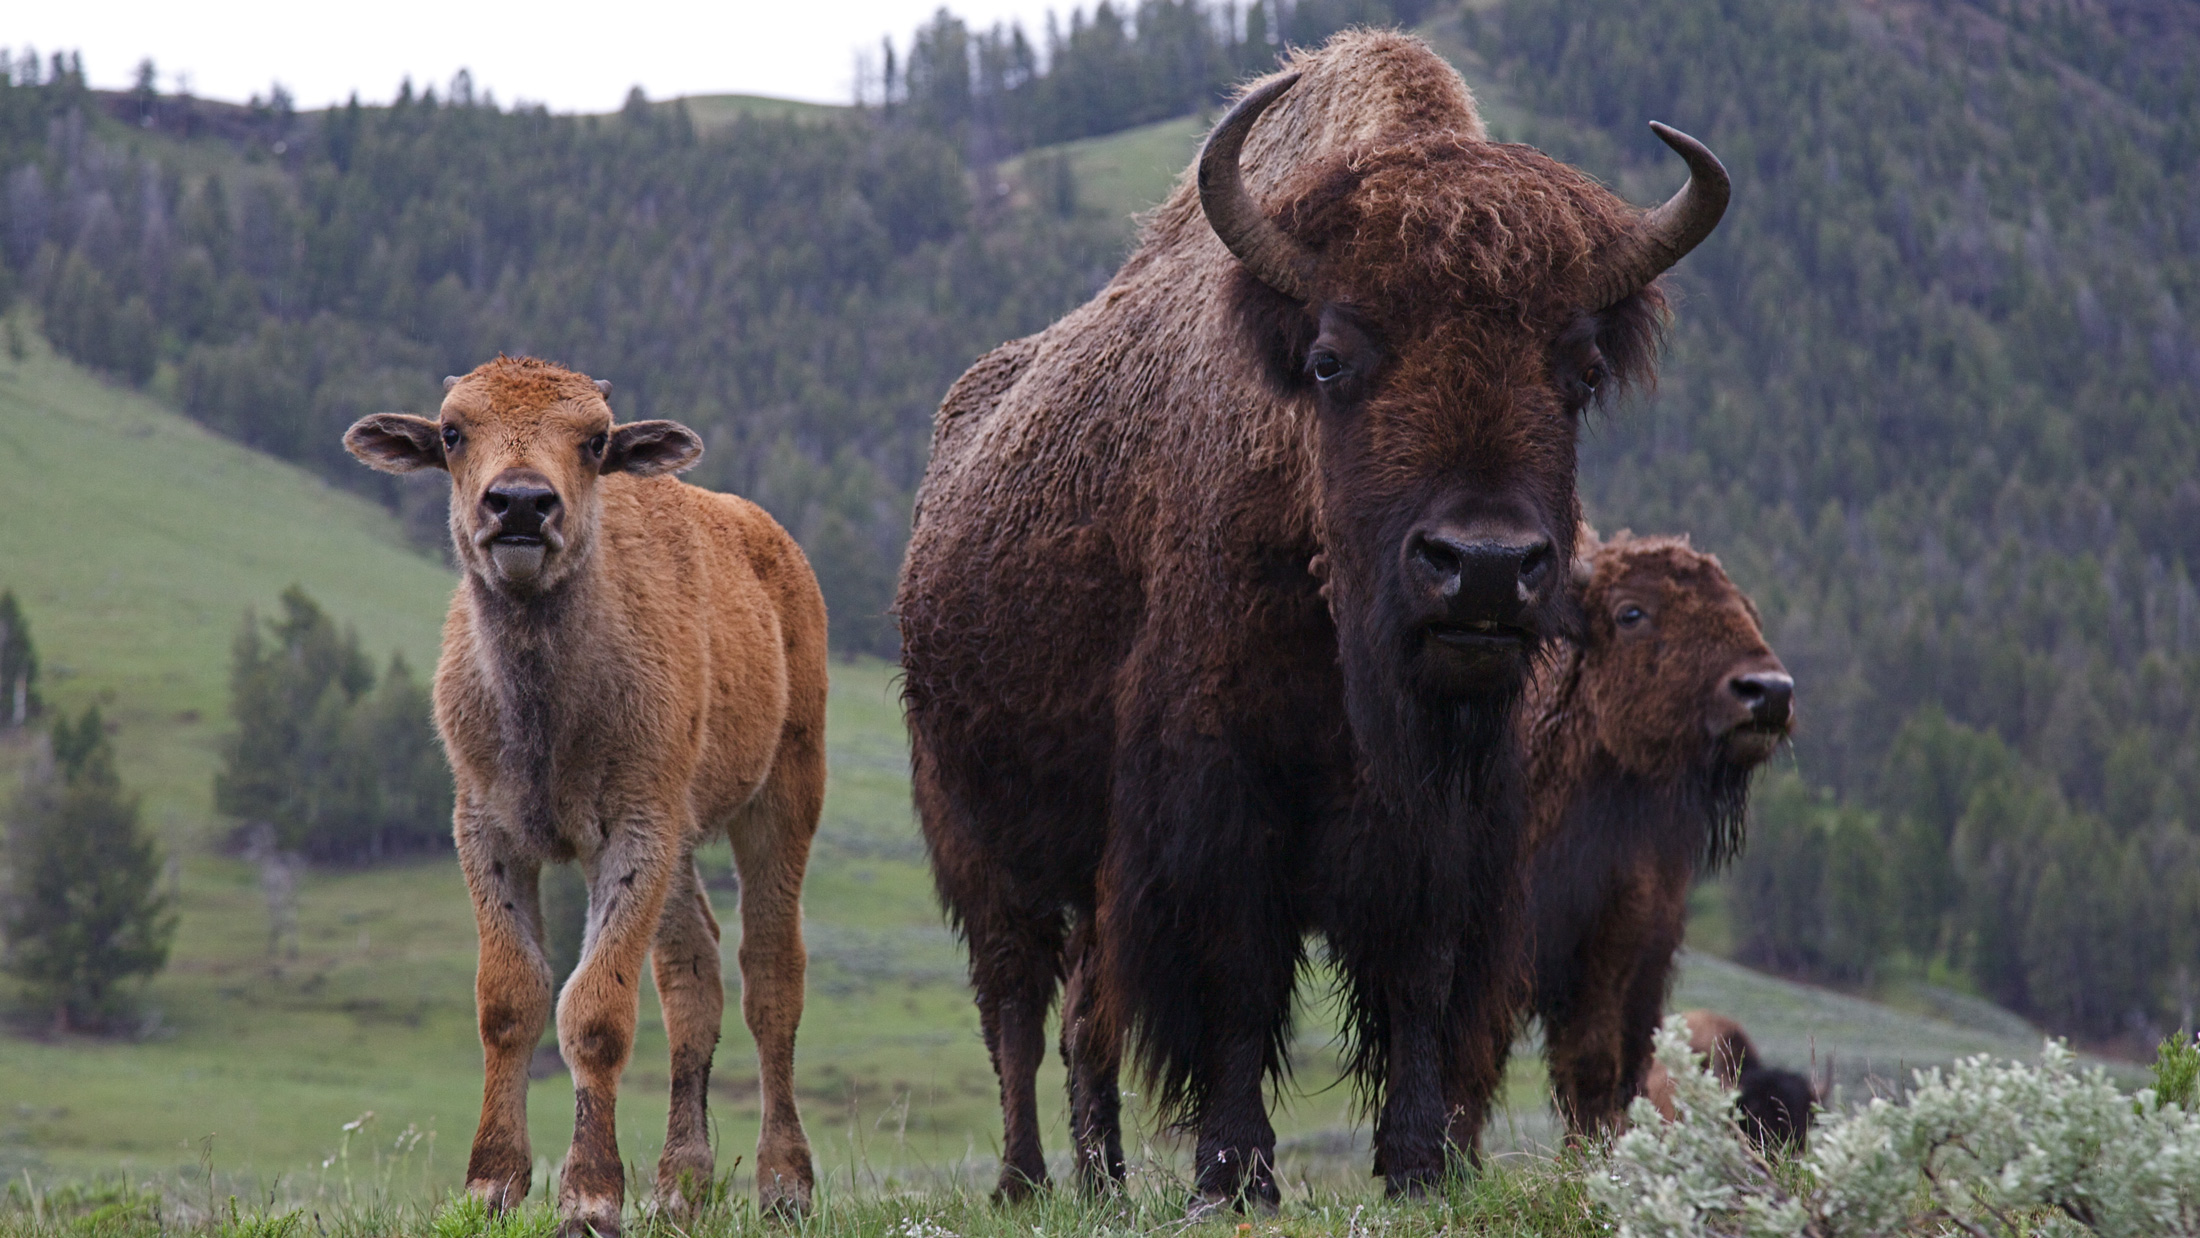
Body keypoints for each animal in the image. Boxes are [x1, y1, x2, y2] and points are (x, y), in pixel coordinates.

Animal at [342, 356, 826, 1235]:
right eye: (453, 430)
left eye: (596, 439)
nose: (521, 503)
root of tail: (774, 545)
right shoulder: (489, 831)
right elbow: (511, 998)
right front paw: (492, 1184)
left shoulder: (632, 834)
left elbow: (595, 1011)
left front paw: (592, 1197)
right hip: (682, 842)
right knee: (693, 973)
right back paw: (682, 1185)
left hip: (783, 795)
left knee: (771, 972)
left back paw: (784, 1184)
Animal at [895, 31, 1728, 1206]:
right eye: (1333, 358)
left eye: (1581, 369)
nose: (1482, 569)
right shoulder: (1220, 799)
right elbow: (1239, 979)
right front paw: (1235, 1173)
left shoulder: (1450, 819)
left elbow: (1419, 976)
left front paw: (1418, 1165)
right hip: (980, 833)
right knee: (1017, 1001)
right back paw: (1025, 1181)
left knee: (1085, 1020)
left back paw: (1105, 1182)